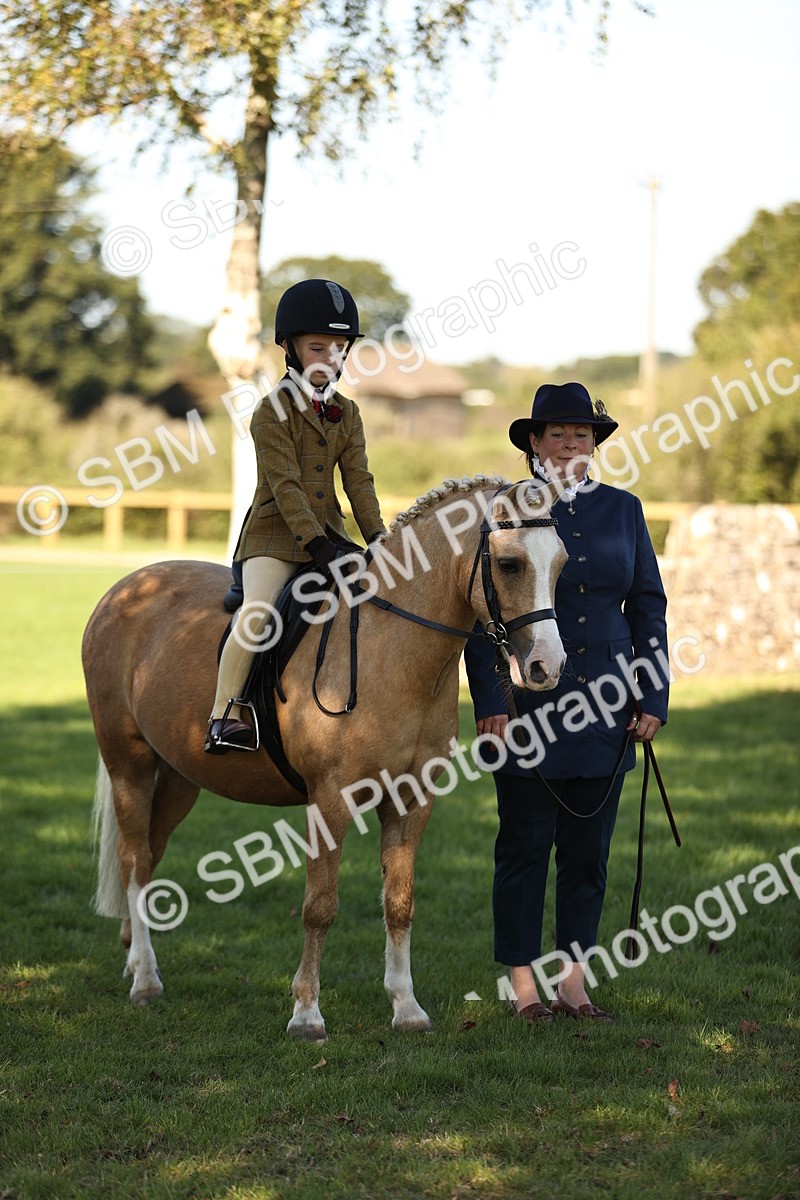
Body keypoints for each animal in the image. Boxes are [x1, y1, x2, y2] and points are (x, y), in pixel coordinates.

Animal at [83, 475, 568, 1040]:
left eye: (561, 563)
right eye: (510, 564)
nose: (548, 666)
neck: (392, 648)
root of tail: (125, 589)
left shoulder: (413, 799)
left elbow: (399, 902)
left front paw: (406, 1007)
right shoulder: (329, 800)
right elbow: (320, 907)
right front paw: (307, 1014)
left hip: (180, 776)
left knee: (149, 855)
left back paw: (133, 956)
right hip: (129, 764)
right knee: (135, 862)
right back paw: (145, 979)